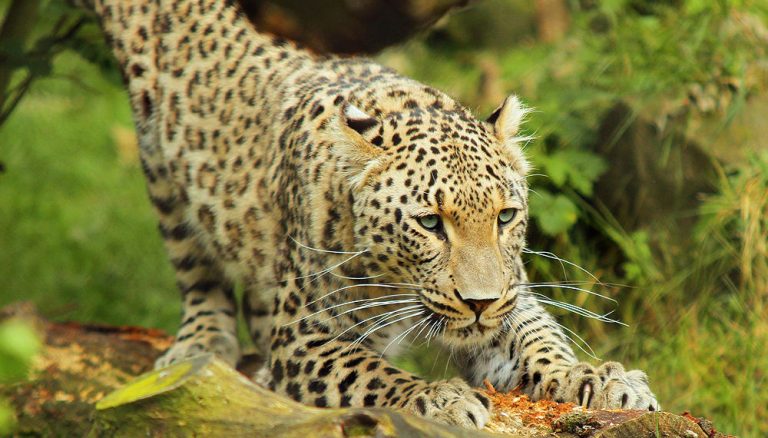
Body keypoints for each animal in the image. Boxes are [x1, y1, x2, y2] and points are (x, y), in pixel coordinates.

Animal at [77, 0, 659, 429]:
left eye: (505, 217)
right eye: (430, 223)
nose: (479, 303)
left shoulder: (509, 290)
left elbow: (537, 338)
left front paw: (602, 379)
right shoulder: (304, 337)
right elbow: (370, 374)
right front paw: (442, 399)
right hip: (157, 157)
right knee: (194, 266)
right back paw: (201, 344)